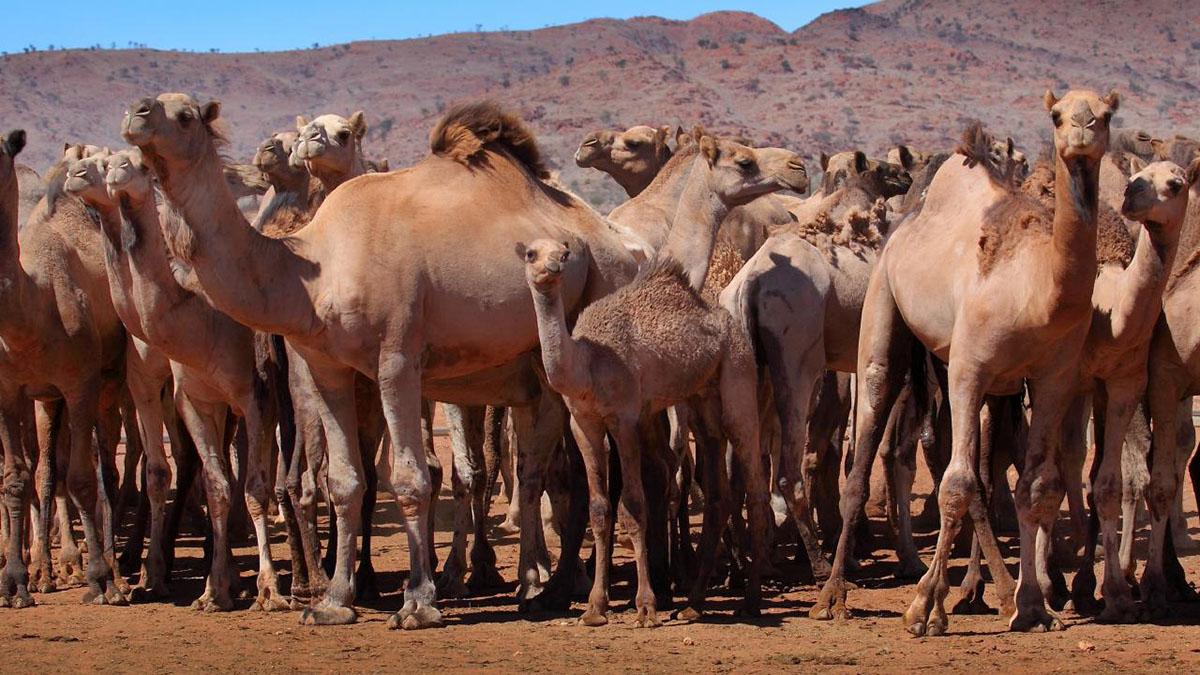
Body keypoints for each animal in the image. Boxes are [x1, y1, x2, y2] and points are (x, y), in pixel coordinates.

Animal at [0, 128, 129, 607]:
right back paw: (44, 568)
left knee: (106, 469)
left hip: (110, 383)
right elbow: (18, 479)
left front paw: (100, 579)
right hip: (48, 400)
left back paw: (116, 570)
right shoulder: (10, 391)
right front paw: (16, 582)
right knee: (46, 469)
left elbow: (81, 479)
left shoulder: (80, 384)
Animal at [124, 93, 638, 624]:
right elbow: (344, 481)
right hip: (538, 368)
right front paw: (333, 600)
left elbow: (410, 479)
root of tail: (620, 246)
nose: (138, 113)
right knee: (541, 471)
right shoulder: (324, 366)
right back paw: (540, 586)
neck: (314, 268)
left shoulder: (397, 357)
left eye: (185, 116)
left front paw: (417, 602)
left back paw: (566, 587)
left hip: (598, 306)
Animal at [525, 132, 806, 624]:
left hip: (736, 396)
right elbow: (614, 499)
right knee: (723, 489)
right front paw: (602, 605)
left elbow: (641, 495)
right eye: (745, 162)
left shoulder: (636, 414)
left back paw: (745, 596)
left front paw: (646, 600)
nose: (798, 168)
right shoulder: (615, 416)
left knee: (750, 484)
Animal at [811, 90, 1118, 634]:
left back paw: (994, 591)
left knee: (980, 475)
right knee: (868, 447)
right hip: (885, 315)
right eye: (1057, 115)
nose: (1082, 129)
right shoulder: (968, 369)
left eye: (1105, 115)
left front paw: (1034, 605)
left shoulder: (1054, 377)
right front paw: (922, 609)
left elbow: (1036, 486)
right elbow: (954, 485)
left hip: (972, 375)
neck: (1039, 288)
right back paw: (833, 595)